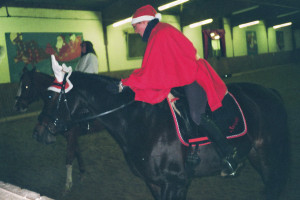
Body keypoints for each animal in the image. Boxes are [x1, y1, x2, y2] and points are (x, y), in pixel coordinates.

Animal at [34, 71, 290, 199]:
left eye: (50, 96)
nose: (38, 132)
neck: (140, 120)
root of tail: (271, 92)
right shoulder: (155, 183)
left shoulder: (174, 183)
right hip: (255, 154)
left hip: (268, 155)